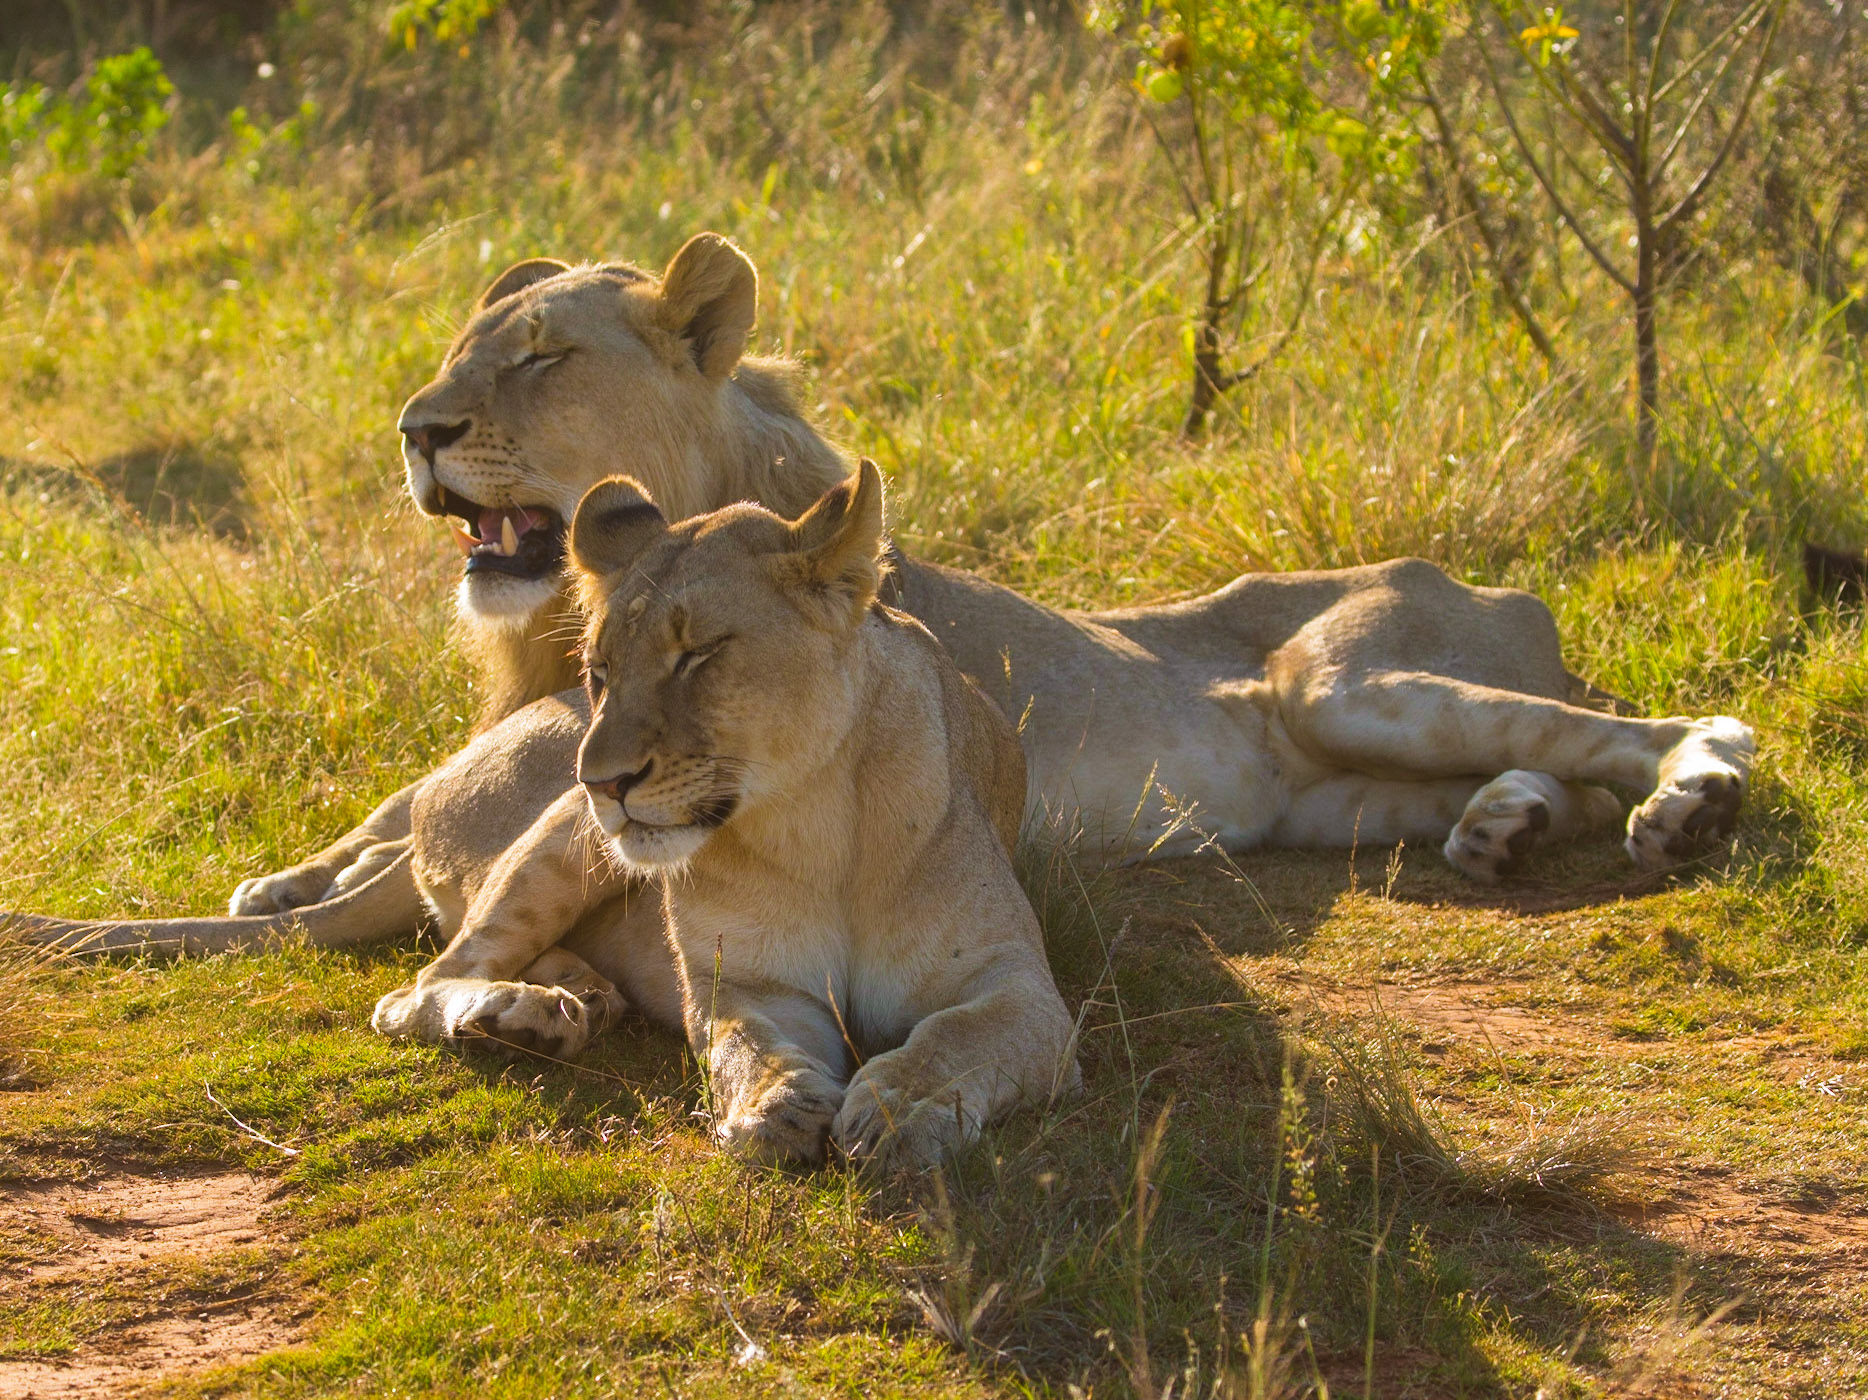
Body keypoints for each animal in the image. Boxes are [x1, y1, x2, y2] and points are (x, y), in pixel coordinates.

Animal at [5, 232, 1754, 964]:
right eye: (458, 352)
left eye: (541, 361)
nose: (417, 430)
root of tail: (1506, 584)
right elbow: (374, 809)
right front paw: (282, 876)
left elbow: (397, 814)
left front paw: (299, 883)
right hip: (1337, 782)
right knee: (1524, 765)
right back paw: (1507, 829)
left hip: (1348, 674)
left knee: (1657, 725)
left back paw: (1696, 795)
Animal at [370, 462, 1079, 1166]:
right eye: (600, 669)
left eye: (699, 653)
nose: (601, 780)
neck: (815, 825)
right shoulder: (748, 981)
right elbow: (746, 1041)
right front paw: (776, 1103)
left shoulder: (1017, 983)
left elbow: (957, 1033)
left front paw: (898, 1110)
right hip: (562, 836)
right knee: (416, 989)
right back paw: (519, 1015)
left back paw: (570, 1007)